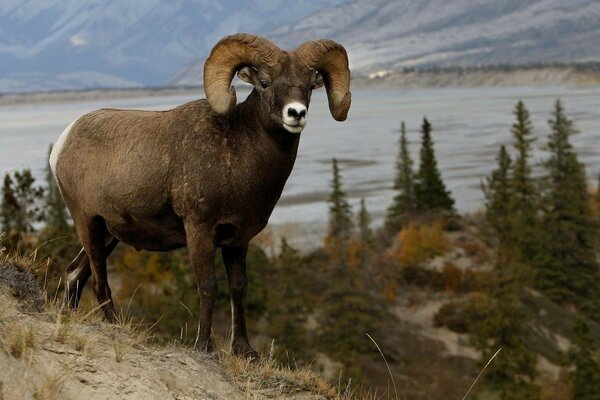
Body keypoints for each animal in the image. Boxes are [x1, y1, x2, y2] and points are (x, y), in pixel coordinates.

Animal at [51, 33, 354, 356]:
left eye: (309, 85)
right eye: (264, 82)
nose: (296, 113)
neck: (238, 153)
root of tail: (63, 142)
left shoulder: (238, 240)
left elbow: (238, 288)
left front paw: (245, 351)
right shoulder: (199, 230)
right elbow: (209, 287)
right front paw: (204, 347)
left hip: (109, 235)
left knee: (74, 273)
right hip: (88, 224)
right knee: (99, 282)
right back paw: (114, 327)